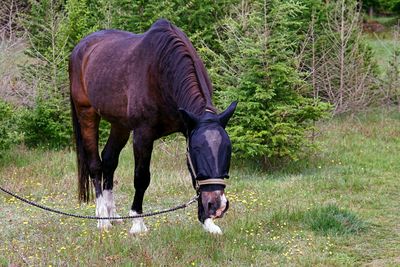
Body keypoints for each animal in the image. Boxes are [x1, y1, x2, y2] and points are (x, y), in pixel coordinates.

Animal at [69, 19, 238, 237]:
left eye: (228, 150)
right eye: (197, 151)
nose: (217, 206)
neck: (162, 72)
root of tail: (80, 48)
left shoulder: (188, 128)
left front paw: (207, 222)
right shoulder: (143, 135)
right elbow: (141, 177)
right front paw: (137, 223)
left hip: (119, 124)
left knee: (109, 161)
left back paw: (112, 215)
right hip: (87, 114)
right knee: (95, 165)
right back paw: (102, 218)